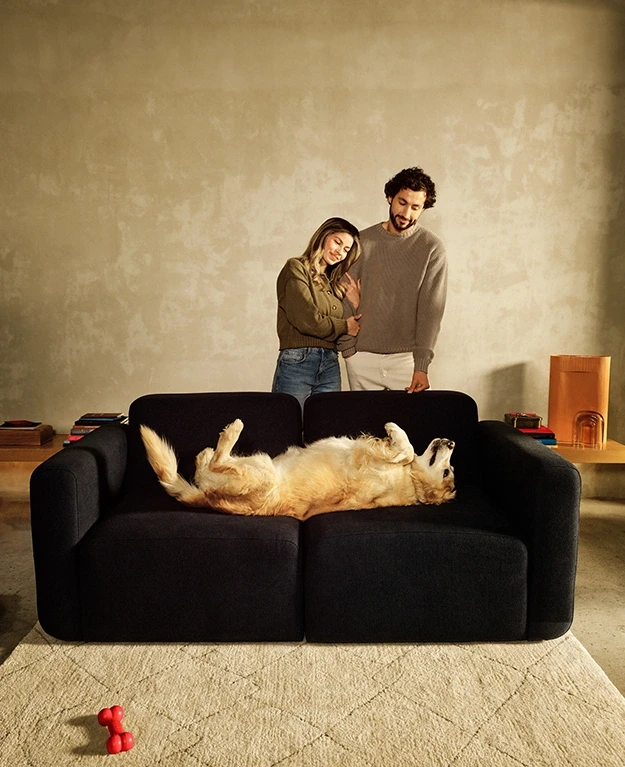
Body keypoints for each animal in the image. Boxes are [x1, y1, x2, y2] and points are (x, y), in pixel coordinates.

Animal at [140, 420, 454, 520]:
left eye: (447, 473)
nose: (451, 441)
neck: (409, 483)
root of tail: (208, 500)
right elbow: (409, 449)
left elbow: (407, 449)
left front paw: (393, 431)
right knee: (205, 465)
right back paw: (206, 451)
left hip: (260, 470)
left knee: (217, 461)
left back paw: (231, 431)